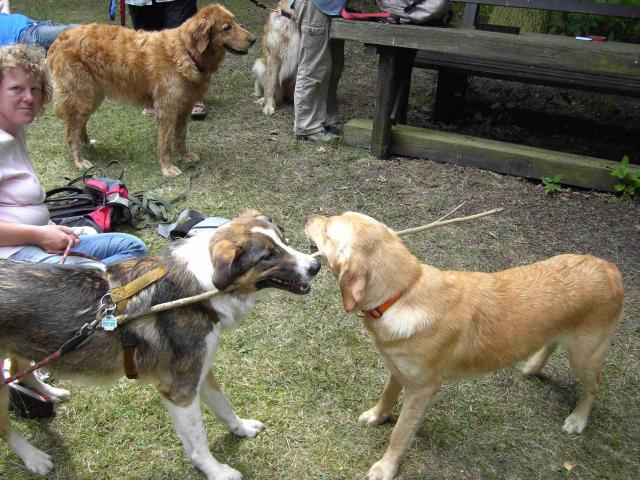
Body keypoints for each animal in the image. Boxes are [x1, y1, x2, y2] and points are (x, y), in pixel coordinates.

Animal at [0, 210, 320, 480]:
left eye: (283, 239)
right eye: (267, 256)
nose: (316, 265)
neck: (201, 288)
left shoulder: (200, 371)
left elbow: (223, 406)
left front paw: (241, 429)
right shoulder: (179, 390)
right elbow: (199, 444)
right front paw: (216, 472)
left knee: (19, 370)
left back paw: (51, 393)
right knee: (5, 425)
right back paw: (34, 458)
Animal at [48, 4, 256, 176]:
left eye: (235, 22)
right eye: (227, 27)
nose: (254, 39)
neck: (186, 51)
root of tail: (60, 38)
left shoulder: (185, 106)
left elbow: (180, 136)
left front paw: (185, 156)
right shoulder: (166, 109)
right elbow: (166, 143)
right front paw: (167, 167)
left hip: (92, 97)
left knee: (79, 124)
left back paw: (87, 143)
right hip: (82, 95)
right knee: (70, 133)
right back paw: (79, 160)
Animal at [304, 212, 624, 480]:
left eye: (328, 228)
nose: (310, 216)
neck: (403, 292)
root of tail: (611, 269)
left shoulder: (423, 390)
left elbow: (400, 432)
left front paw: (386, 467)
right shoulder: (398, 368)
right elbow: (387, 395)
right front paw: (376, 415)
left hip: (585, 355)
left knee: (594, 386)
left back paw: (578, 418)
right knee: (551, 343)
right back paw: (533, 367)